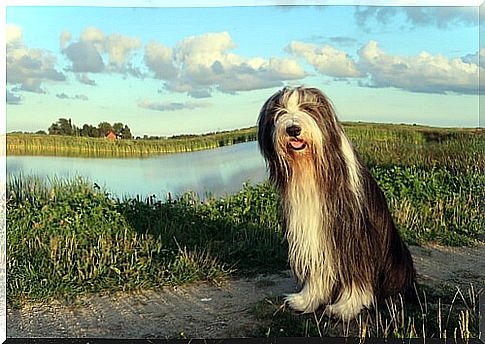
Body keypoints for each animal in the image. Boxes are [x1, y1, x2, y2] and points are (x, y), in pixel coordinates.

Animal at [255, 85, 414, 320]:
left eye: (308, 108)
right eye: (279, 112)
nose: (293, 129)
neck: (313, 171)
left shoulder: (353, 236)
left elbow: (357, 275)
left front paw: (346, 306)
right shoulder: (311, 234)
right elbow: (316, 271)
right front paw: (306, 300)